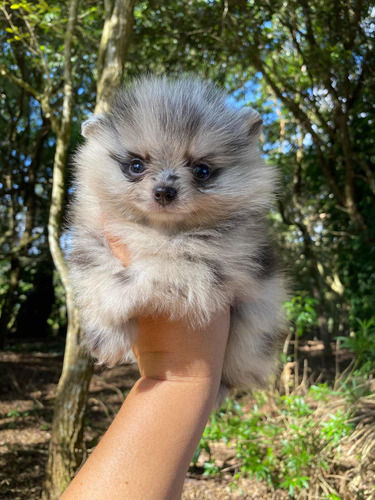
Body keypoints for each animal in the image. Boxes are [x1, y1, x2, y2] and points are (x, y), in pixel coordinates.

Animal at [69, 75, 288, 394]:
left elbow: (151, 270)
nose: (164, 191)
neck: (161, 230)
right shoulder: (92, 237)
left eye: (202, 170)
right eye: (136, 166)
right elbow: (95, 274)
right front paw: (105, 332)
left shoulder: (209, 265)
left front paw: (115, 298)